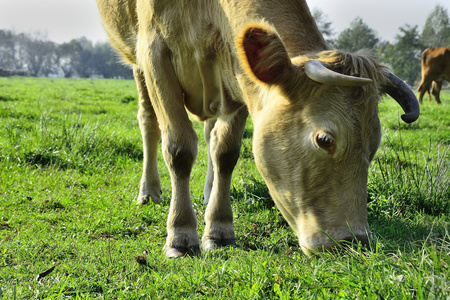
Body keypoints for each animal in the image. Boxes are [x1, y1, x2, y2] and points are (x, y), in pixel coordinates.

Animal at [96, 0, 420, 258]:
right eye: (324, 139)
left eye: (374, 144)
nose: (354, 241)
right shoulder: (154, 53)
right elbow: (179, 148)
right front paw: (181, 233)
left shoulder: (236, 74)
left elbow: (225, 152)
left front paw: (219, 229)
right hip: (137, 62)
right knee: (149, 122)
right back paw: (149, 191)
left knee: (211, 135)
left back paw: (209, 191)